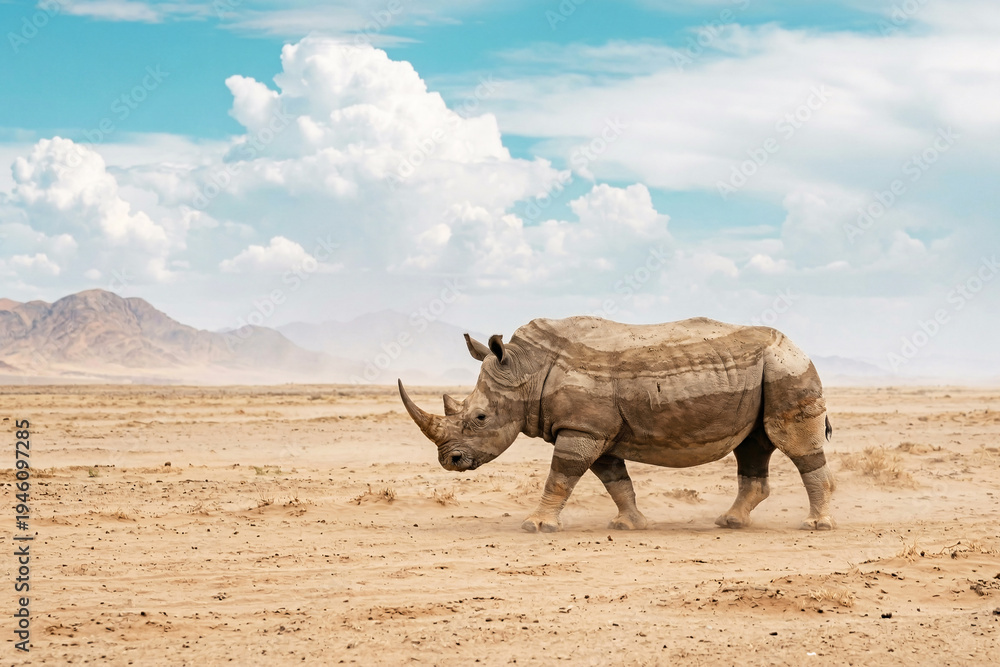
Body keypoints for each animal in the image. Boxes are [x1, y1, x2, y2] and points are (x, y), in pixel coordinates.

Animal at [398, 316, 835, 533]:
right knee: (753, 444)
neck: (526, 368)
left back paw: (816, 526)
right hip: (767, 370)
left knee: (793, 443)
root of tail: (798, 345)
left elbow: (559, 477)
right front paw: (629, 525)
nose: (450, 461)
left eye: (480, 418)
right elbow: (614, 481)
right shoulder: (591, 429)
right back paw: (731, 523)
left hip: (785, 365)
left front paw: (535, 526)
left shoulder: (582, 429)